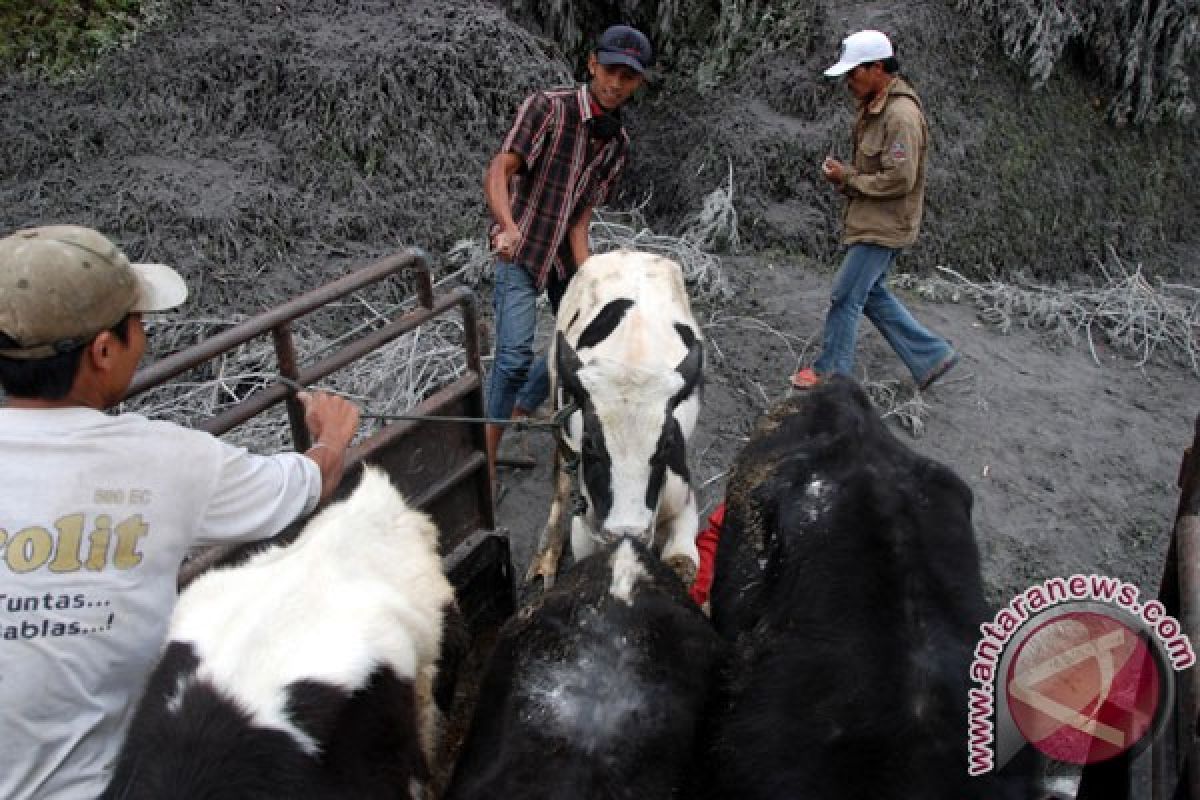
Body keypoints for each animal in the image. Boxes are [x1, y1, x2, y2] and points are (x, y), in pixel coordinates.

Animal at [525, 250, 700, 587]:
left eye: (666, 445)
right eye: (591, 444)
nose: (625, 532)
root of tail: (631, 252)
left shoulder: (683, 500)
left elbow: (684, 562)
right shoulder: (585, 528)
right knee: (562, 476)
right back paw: (546, 556)